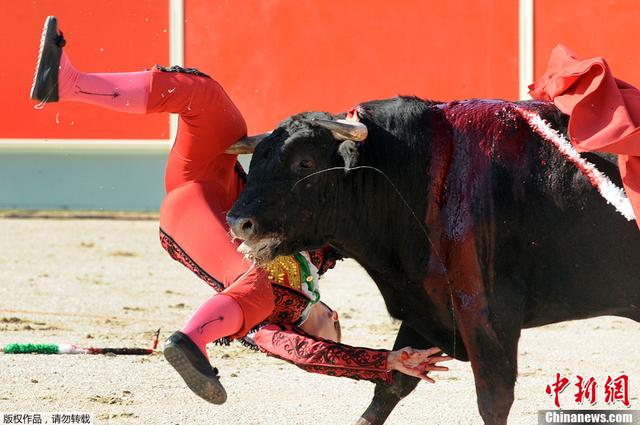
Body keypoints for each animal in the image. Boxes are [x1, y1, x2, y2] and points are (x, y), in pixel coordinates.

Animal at [228, 97, 636, 424]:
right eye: (257, 161)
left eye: (304, 162)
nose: (237, 221)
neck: (419, 175)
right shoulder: (427, 307)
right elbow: (390, 388)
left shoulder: (486, 314)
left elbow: (494, 400)